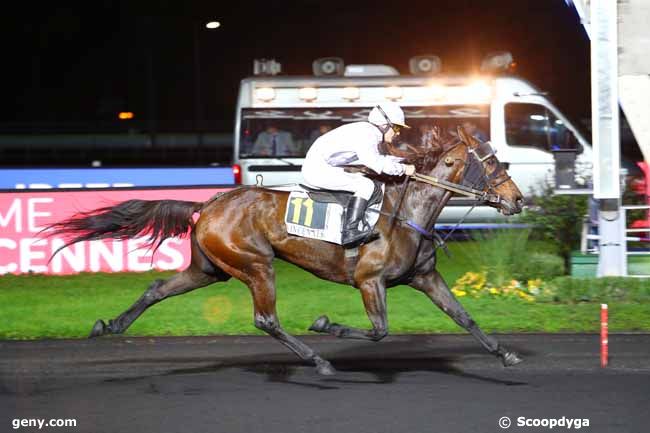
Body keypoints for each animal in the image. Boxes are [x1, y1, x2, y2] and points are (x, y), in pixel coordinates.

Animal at [44, 125, 520, 374]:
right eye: (493, 164)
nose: (517, 200)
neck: (406, 212)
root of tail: (210, 203)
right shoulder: (370, 281)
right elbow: (379, 330)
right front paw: (327, 325)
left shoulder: (424, 276)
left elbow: (463, 316)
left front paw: (505, 353)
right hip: (255, 264)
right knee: (266, 319)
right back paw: (318, 360)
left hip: (210, 268)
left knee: (157, 288)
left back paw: (110, 325)